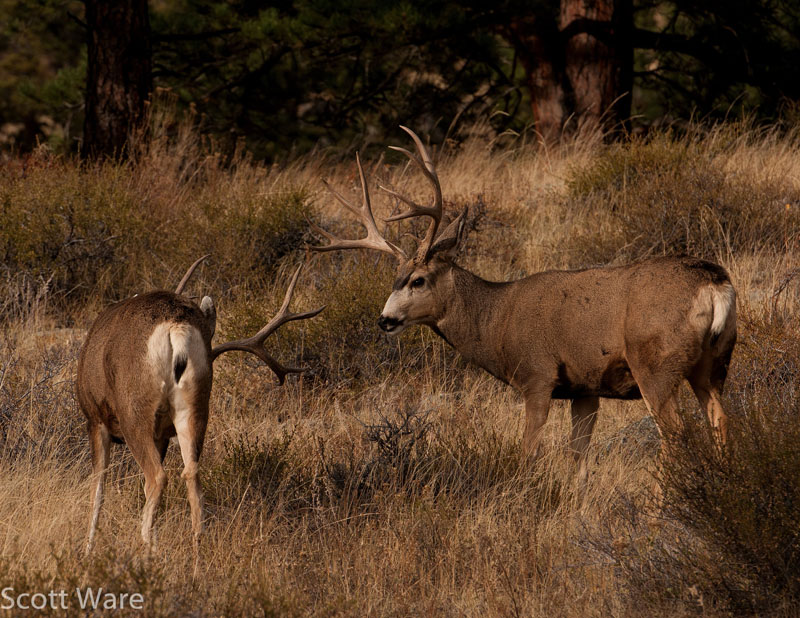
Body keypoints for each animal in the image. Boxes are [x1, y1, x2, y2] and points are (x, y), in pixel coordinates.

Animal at [77, 257, 323, 556]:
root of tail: (176, 327)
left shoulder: (95, 418)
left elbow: (98, 490)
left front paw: (87, 550)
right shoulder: (162, 434)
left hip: (134, 413)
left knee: (157, 477)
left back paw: (146, 550)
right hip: (196, 407)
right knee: (191, 473)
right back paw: (195, 550)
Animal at [310, 126, 737, 484]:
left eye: (418, 280)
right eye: (394, 279)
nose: (385, 319)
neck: (497, 320)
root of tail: (715, 284)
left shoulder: (537, 375)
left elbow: (528, 453)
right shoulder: (584, 388)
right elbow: (578, 458)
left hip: (654, 363)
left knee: (676, 435)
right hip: (713, 363)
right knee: (720, 421)